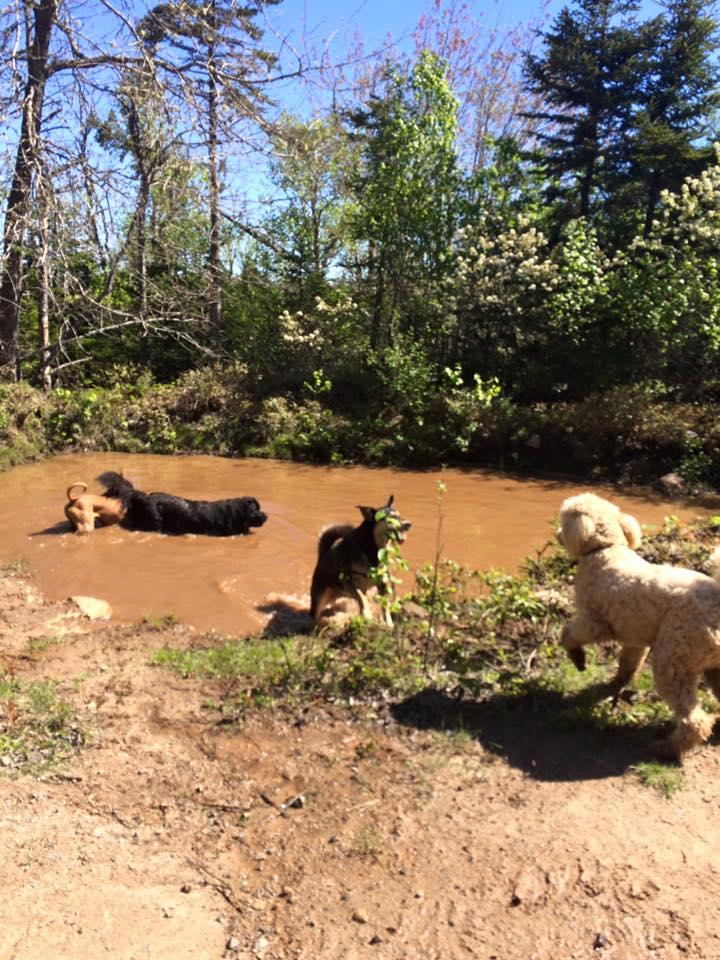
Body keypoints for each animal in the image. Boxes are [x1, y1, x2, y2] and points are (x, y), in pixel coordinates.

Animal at [310, 496, 410, 632]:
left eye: (399, 516)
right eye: (390, 517)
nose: (408, 524)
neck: (372, 548)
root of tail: (323, 554)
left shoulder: (381, 582)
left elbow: (384, 604)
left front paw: (389, 623)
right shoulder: (348, 579)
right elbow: (362, 598)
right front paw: (367, 615)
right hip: (319, 597)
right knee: (315, 615)